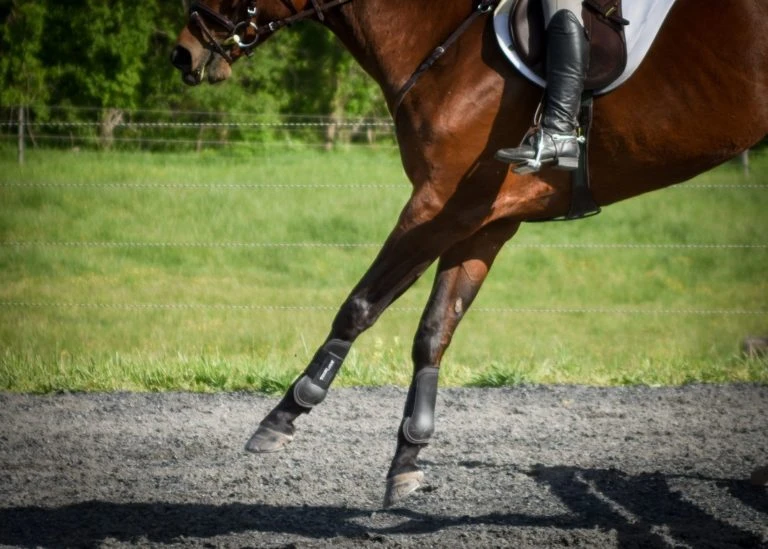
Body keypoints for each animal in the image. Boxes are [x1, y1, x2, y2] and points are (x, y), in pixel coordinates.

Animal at [171, 0, 768, 505]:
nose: (183, 53)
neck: (442, 41)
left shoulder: (439, 204)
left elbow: (361, 305)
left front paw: (285, 413)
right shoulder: (484, 220)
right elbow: (436, 329)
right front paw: (407, 458)